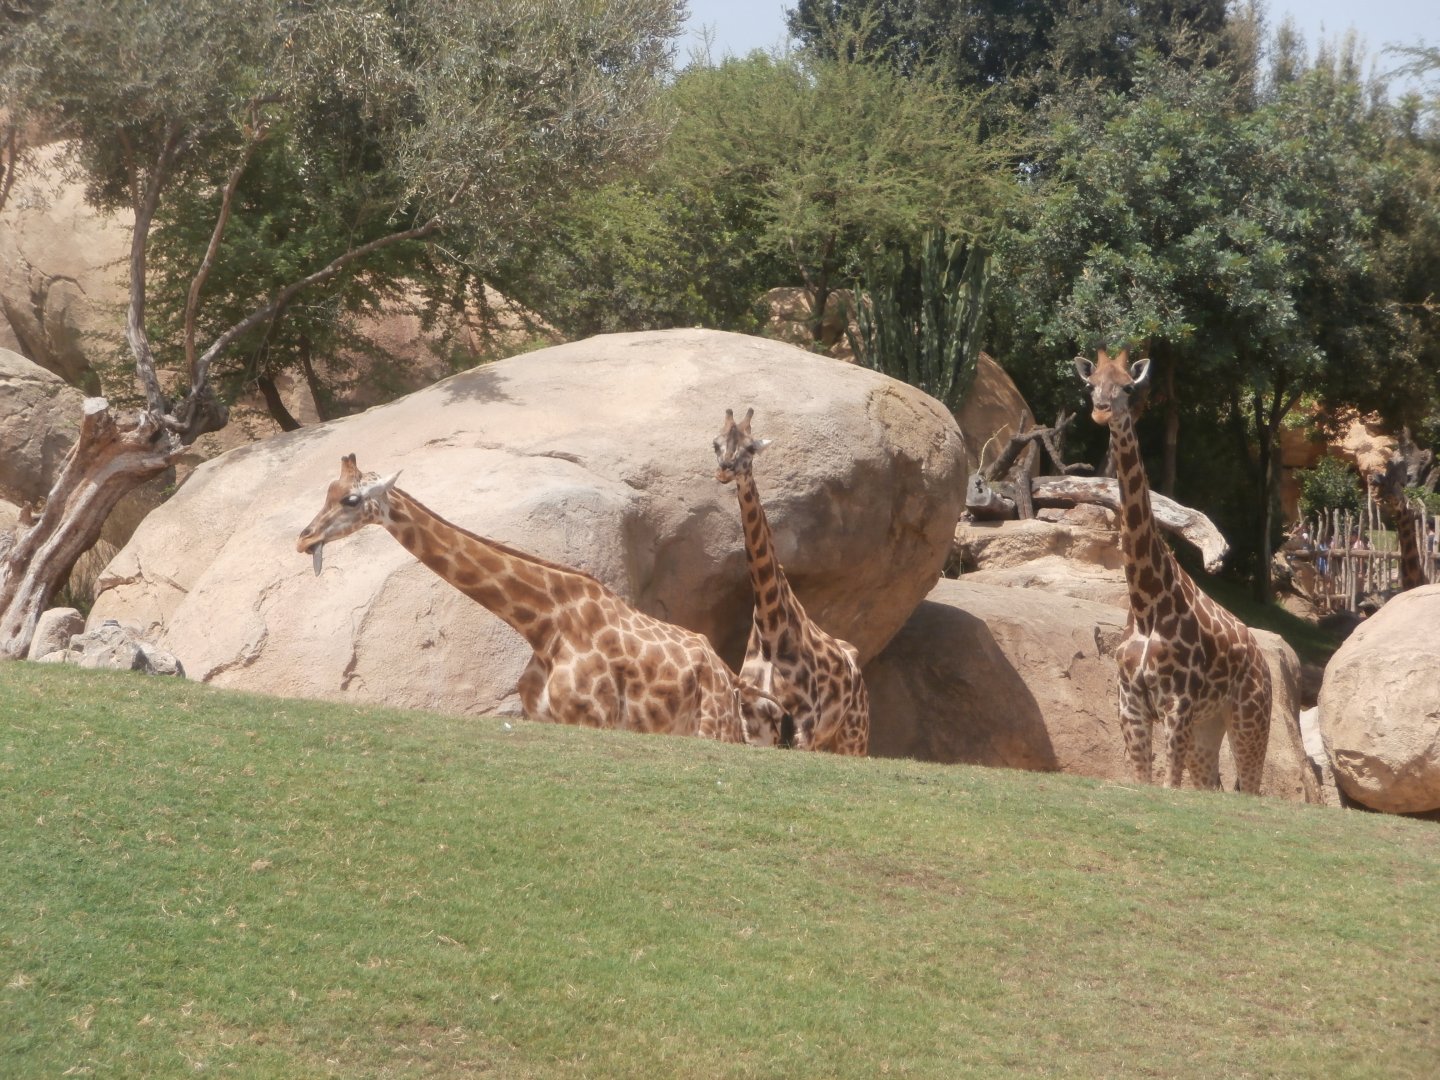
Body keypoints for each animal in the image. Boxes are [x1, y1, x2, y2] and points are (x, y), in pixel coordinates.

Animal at [295, 454, 791, 745]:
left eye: (352, 499)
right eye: (326, 494)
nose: (304, 538)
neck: (542, 623)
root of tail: (725, 671)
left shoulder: (593, 719)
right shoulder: (544, 718)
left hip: (715, 726)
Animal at [713, 408, 870, 755]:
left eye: (751, 448)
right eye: (716, 443)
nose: (724, 471)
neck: (770, 631)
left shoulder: (804, 722)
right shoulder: (755, 721)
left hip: (854, 733)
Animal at [1075, 350, 1271, 792]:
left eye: (1128, 388)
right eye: (1091, 385)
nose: (1101, 411)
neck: (1147, 605)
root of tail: (1262, 658)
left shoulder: (1177, 704)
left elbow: (1168, 785)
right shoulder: (1131, 705)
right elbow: (1143, 780)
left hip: (1250, 718)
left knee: (1250, 786)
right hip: (1207, 727)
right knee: (1212, 785)